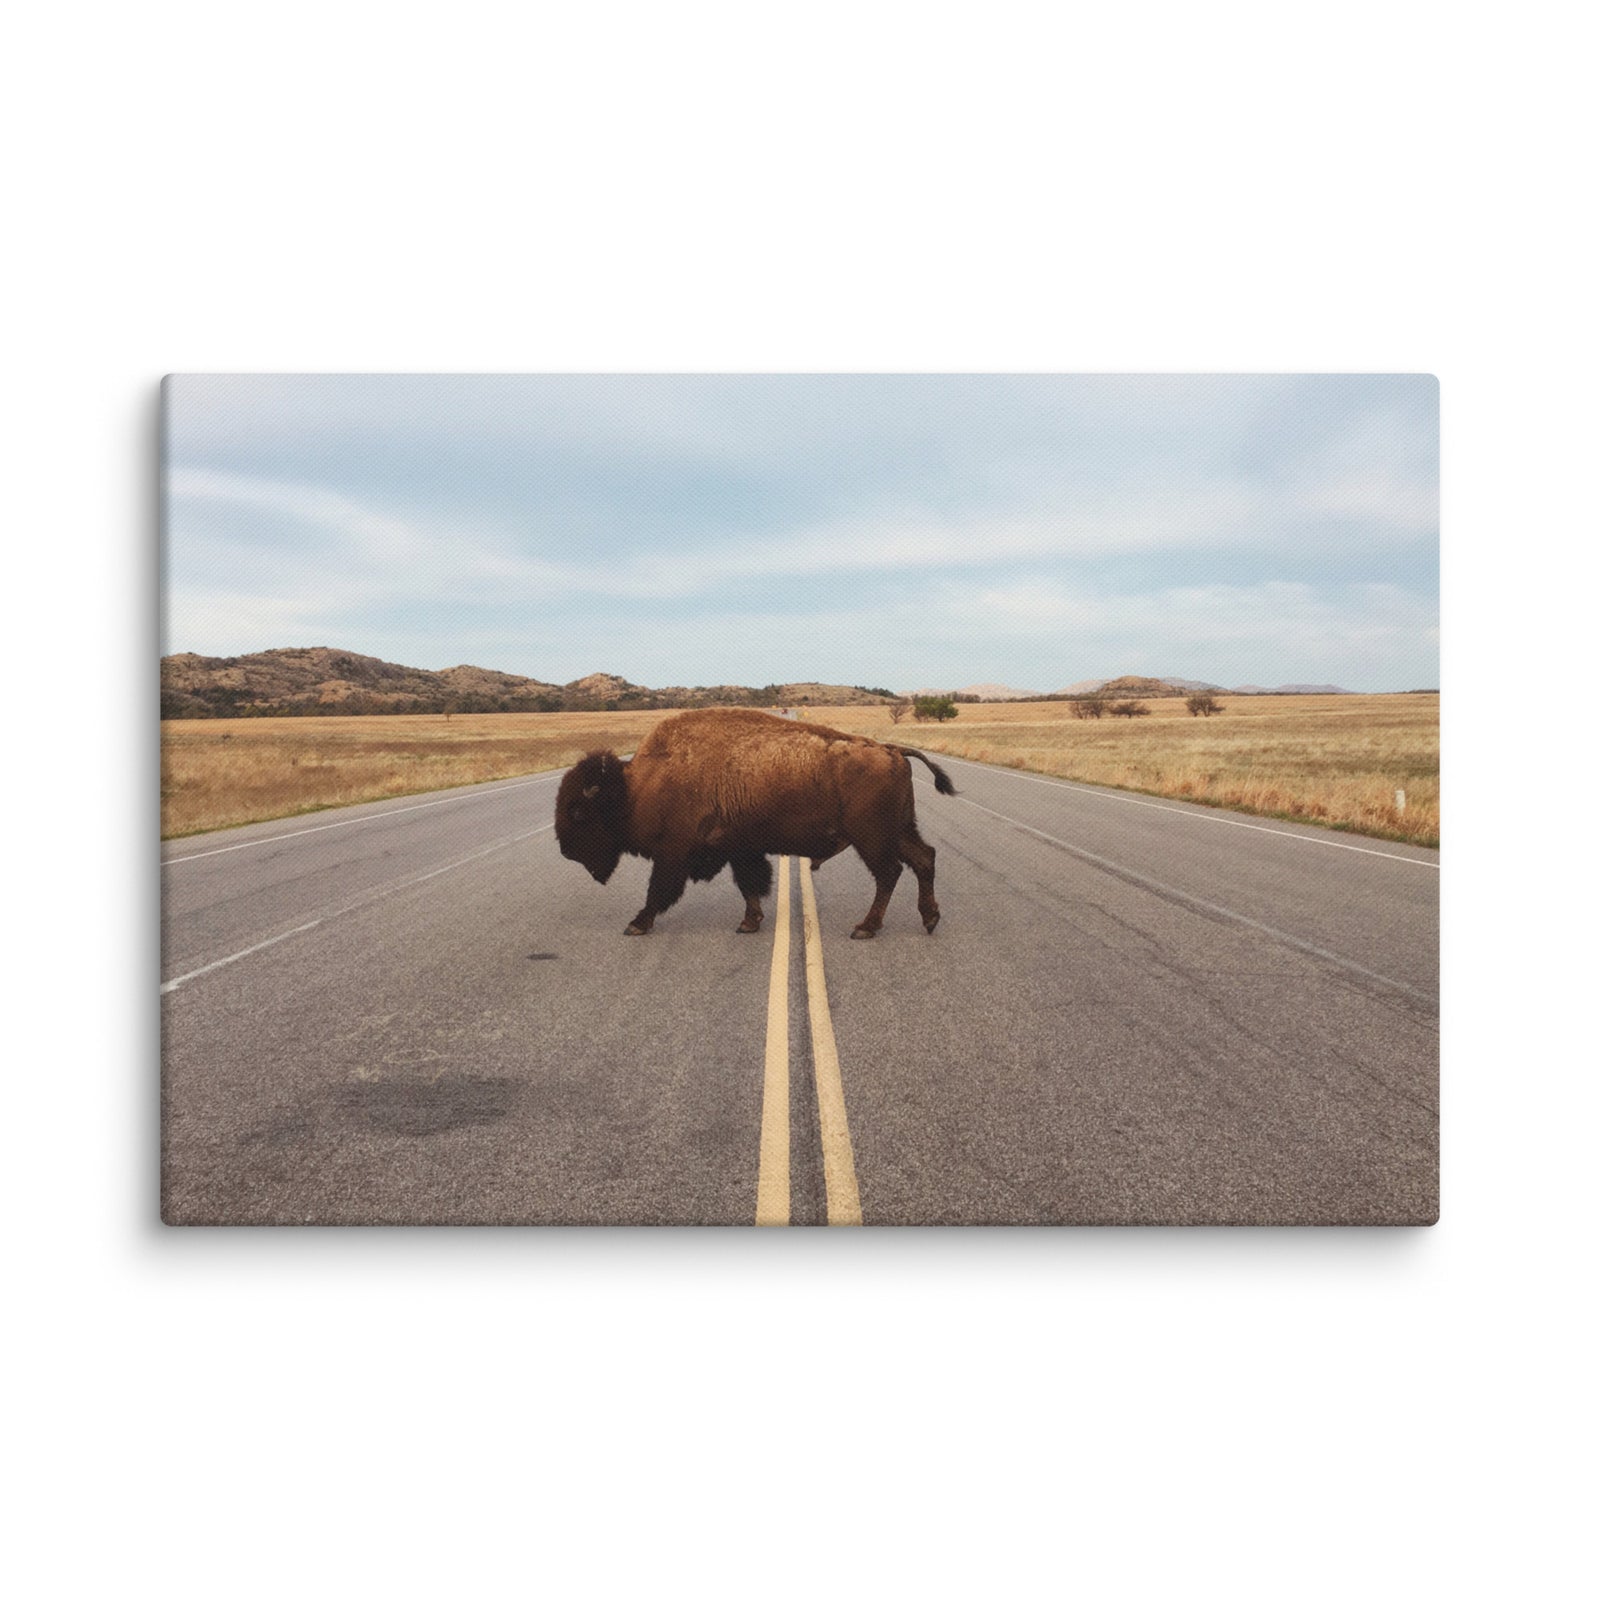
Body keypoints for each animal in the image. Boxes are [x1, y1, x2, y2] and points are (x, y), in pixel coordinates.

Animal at [553, 707, 955, 939]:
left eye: (577, 812)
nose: (566, 851)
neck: (636, 786)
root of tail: (891, 750)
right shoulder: (738, 849)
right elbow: (748, 885)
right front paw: (749, 922)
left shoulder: (673, 854)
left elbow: (658, 891)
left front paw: (636, 924)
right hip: (898, 831)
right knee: (923, 859)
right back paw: (930, 919)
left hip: (871, 838)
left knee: (889, 873)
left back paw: (865, 928)